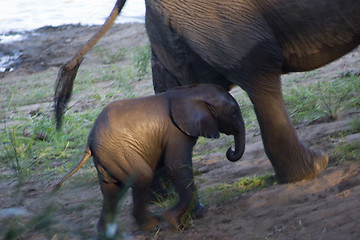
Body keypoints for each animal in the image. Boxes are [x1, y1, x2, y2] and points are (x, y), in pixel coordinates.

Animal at [55, 84, 245, 236]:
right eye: (234, 113)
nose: (230, 151)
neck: (190, 92)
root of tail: (90, 142)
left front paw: (193, 216)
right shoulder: (177, 133)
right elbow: (177, 167)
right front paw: (174, 220)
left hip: (108, 158)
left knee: (111, 190)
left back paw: (107, 233)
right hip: (119, 152)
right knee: (142, 176)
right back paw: (151, 224)